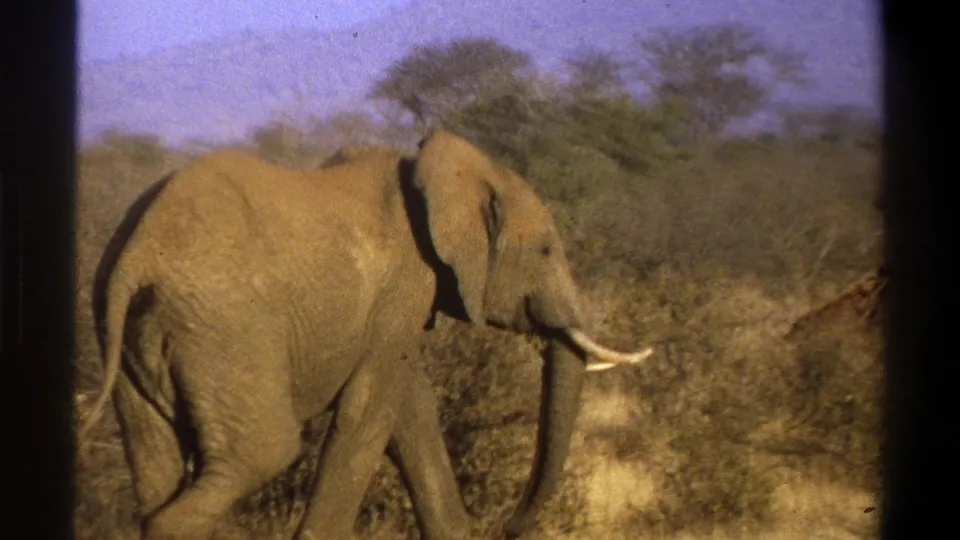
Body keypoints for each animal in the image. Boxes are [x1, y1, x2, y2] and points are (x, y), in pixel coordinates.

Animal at [77, 128, 652, 540]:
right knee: (262, 453)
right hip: (227, 330)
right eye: (547, 251)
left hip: (135, 333)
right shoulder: (404, 285)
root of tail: (138, 252)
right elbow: (369, 409)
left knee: (155, 462)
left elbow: (409, 410)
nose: (509, 526)